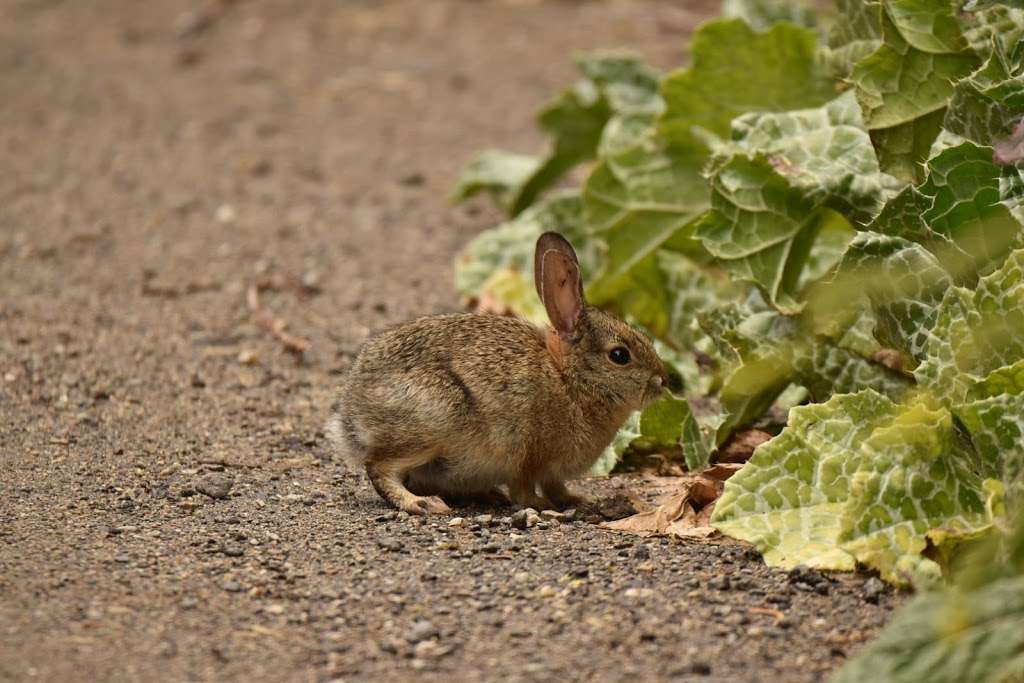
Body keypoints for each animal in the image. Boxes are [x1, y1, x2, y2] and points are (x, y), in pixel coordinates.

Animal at [323, 232, 667, 516]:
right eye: (620, 356)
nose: (661, 382)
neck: (569, 378)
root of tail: (351, 417)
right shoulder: (530, 456)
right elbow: (526, 487)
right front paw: (540, 505)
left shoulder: (552, 471)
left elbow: (557, 487)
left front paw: (578, 500)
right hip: (432, 424)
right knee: (380, 467)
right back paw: (420, 504)